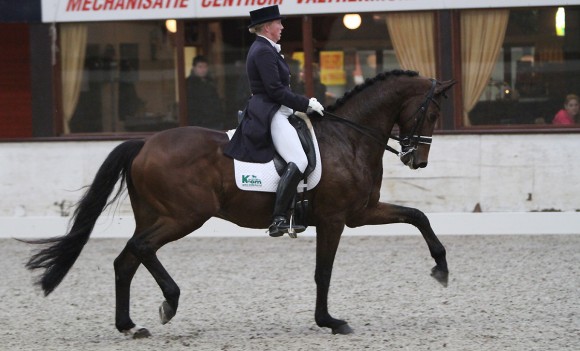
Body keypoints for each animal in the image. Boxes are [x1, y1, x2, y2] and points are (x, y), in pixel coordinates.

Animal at [22, 69, 456, 338]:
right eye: (433, 112)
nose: (417, 160)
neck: (349, 139)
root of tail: (145, 143)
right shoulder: (335, 219)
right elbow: (324, 272)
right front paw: (330, 321)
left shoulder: (361, 213)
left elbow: (417, 215)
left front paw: (441, 268)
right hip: (185, 216)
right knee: (141, 249)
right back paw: (169, 303)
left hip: (156, 214)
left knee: (126, 260)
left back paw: (129, 325)